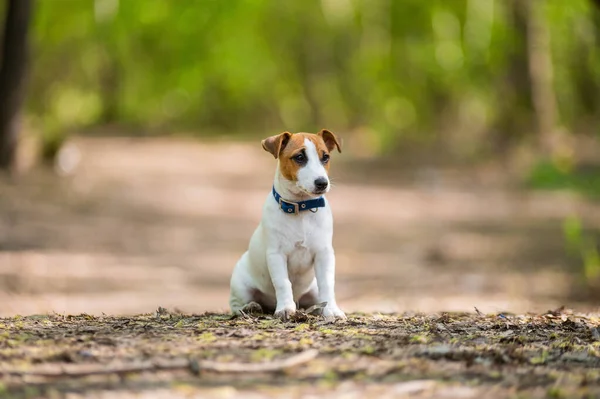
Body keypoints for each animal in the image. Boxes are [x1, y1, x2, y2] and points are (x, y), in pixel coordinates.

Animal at [230, 130, 346, 324]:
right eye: (299, 157)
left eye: (325, 157)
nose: (322, 183)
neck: (301, 208)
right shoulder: (276, 255)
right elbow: (283, 283)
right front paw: (285, 308)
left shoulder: (324, 254)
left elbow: (327, 283)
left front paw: (331, 310)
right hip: (241, 287)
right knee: (236, 305)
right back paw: (251, 307)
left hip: (312, 291)